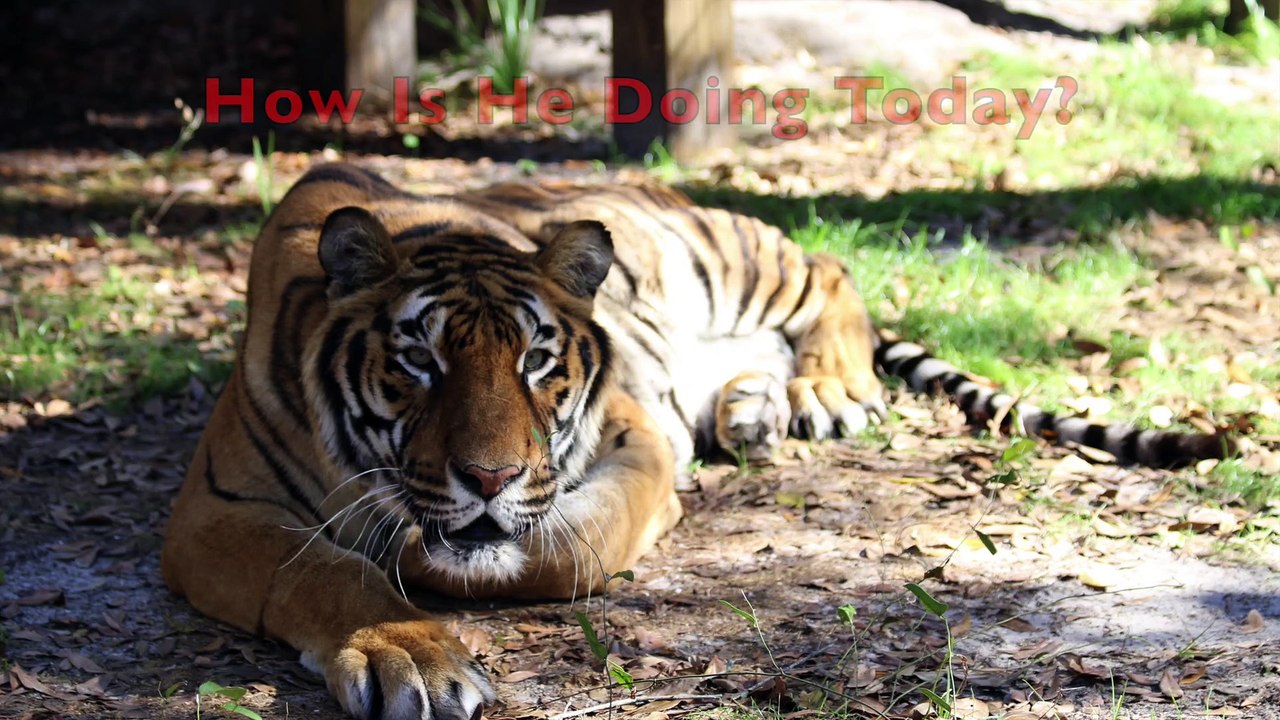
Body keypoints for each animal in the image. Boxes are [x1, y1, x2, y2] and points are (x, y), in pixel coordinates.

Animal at [161, 163, 1232, 720]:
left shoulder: (631, 441)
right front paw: (407, 653)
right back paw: (756, 406)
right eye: (418, 359)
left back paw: (825, 391)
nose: (489, 476)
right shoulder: (213, 512)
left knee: (832, 267)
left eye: (536, 359)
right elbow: (322, 571)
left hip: (736, 256)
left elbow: (561, 549)